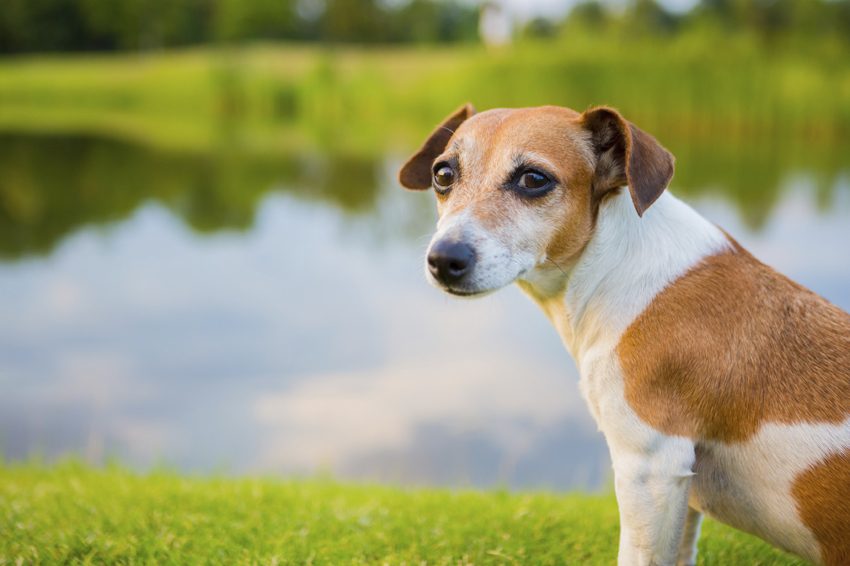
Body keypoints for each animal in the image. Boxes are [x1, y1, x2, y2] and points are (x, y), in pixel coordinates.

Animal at [398, 103, 848, 566]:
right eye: (443, 174)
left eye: (534, 179)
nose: (444, 258)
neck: (611, 266)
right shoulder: (681, 488)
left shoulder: (649, 470)